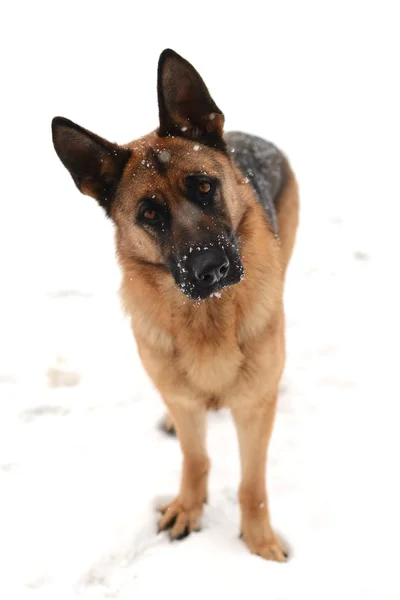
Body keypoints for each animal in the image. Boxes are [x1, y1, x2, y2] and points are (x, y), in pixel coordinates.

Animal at [51, 49, 298, 560]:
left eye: (203, 186)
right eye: (149, 213)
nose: (211, 269)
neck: (208, 317)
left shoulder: (253, 411)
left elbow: (252, 484)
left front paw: (260, 540)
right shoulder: (185, 405)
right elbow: (195, 457)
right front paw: (189, 507)